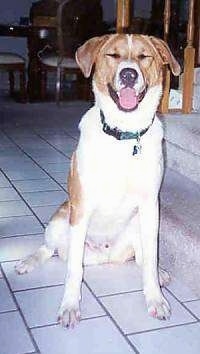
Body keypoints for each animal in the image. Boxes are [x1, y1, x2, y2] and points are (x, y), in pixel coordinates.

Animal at [16, 34, 180, 328]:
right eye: (113, 55)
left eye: (144, 56)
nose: (128, 74)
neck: (124, 135)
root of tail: (105, 255)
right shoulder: (81, 207)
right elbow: (73, 271)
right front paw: (70, 306)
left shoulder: (150, 206)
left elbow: (150, 259)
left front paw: (155, 298)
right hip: (60, 220)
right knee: (51, 249)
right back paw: (28, 261)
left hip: (136, 224)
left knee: (141, 257)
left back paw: (160, 274)